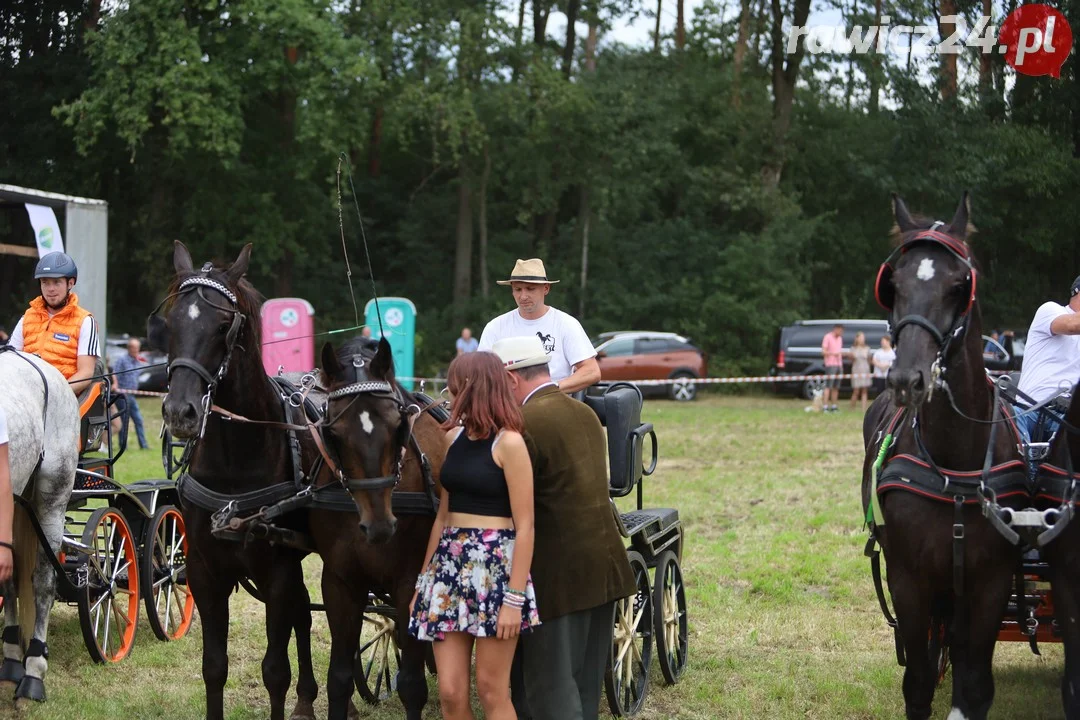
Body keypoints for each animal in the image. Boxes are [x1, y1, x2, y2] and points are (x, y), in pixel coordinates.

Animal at [864, 193, 1023, 720]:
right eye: (893, 284)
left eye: (959, 285)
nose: (906, 380)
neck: (955, 465)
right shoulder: (908, 578)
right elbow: (917, 682)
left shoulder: (993, 581)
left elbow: (974, 682)